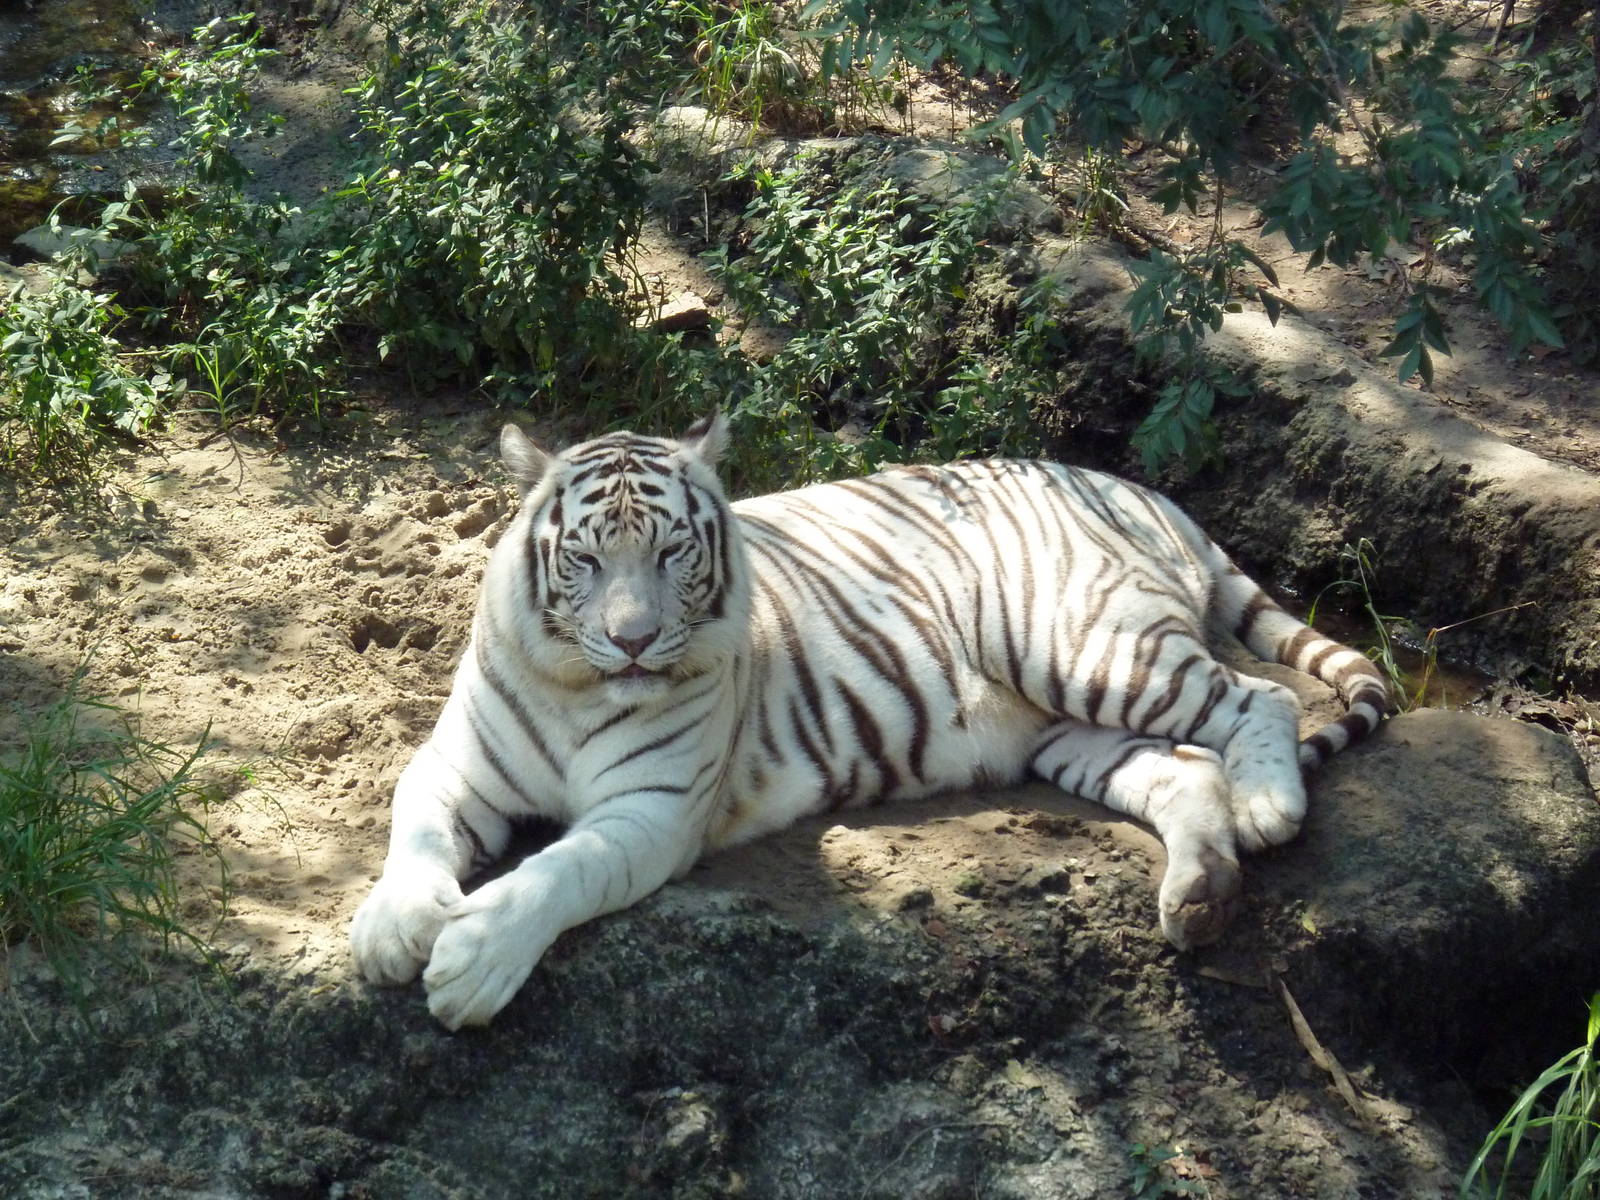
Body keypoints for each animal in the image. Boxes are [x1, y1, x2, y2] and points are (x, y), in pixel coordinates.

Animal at [349, 414, 1390, 1029]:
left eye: (673, 554)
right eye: (588, 561)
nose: (634, 641)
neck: (576, 685)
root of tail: (1136, 486)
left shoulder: (651, 813)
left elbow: (556, 872)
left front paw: (470, 964)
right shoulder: (456, 764)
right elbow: (414, 823)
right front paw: (394, 926)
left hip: (1087, 646)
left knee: (1262, 700)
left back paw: (1268, 809)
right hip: (1071, 726)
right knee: (1184, 768)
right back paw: (1202, 895)